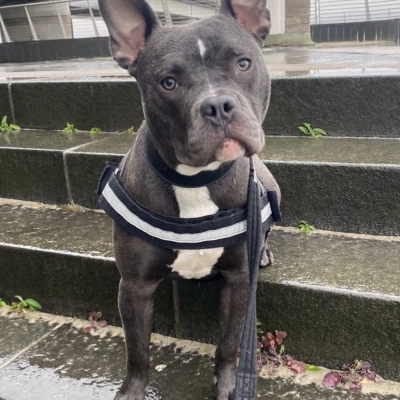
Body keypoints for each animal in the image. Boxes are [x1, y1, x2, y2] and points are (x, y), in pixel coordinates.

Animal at [98, 0, 280, 398]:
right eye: (168, 82)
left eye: (243, 63)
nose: (218, 105)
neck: (195, 179)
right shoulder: (134, 287)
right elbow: (137, 351)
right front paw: (133, 390)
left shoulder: (238, 280)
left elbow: (229, 343)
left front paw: (228, 386)